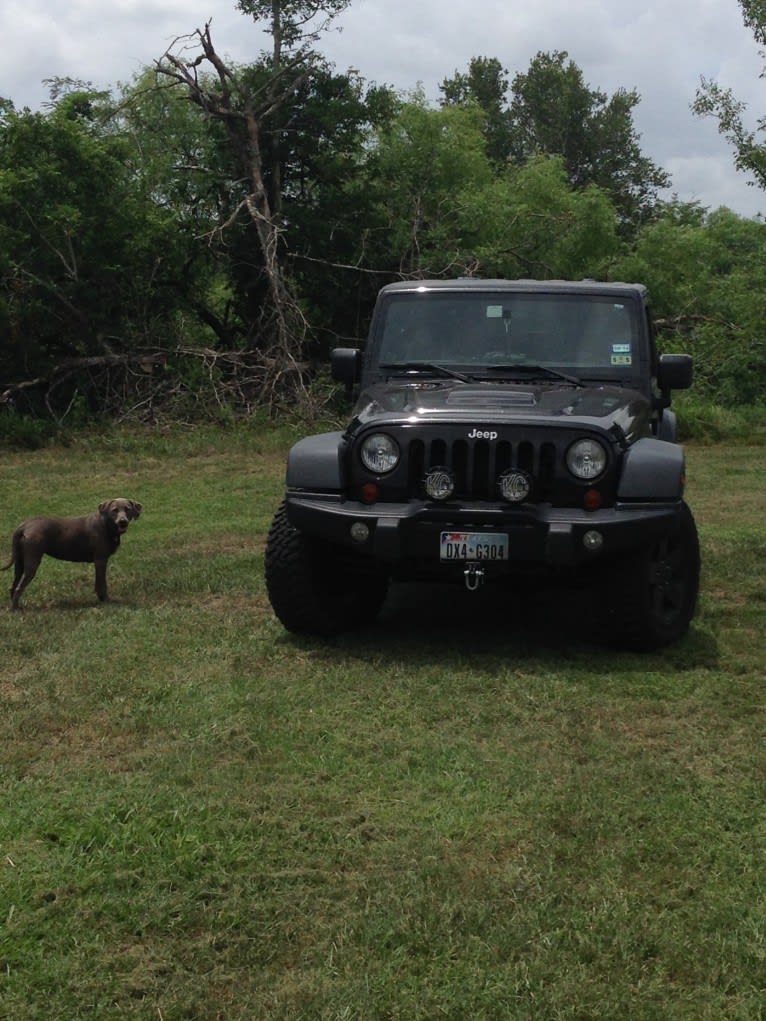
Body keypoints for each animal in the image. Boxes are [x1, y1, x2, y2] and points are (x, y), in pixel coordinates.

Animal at [3, 500, 142, 608]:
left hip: (20, 562)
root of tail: (24, 526)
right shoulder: (101, 560)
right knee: (18, 588)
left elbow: (98, 583)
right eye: (114, 510)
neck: (106, 525)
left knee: (13, 586)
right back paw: (16, 610)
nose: (123, 521)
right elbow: (102, 584)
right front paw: (106, 601)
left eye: (128, 509)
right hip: (32, 562)